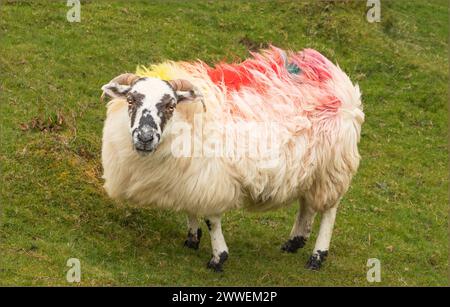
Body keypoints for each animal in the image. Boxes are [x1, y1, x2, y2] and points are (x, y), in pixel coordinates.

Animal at [100, 46, 364, 272]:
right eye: (131, 100)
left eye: (171, 105)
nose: (145, 137)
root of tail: (338, 79)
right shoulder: (190, 177)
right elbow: (191, 207)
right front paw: (192, 239)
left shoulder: (213, 179)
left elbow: (211, 219)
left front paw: (218, 258)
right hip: (310, 167)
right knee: (307, 205)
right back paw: (294, 242)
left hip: (333, 167)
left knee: (329, 210)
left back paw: (317, 256)